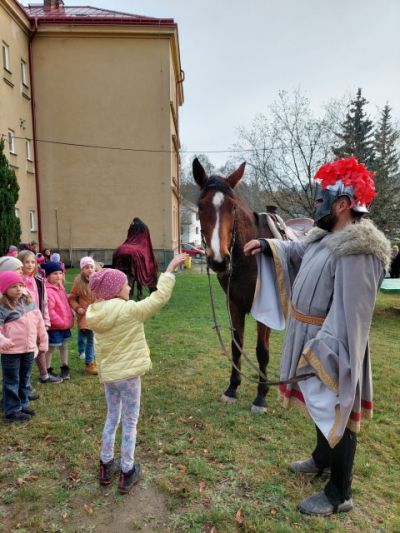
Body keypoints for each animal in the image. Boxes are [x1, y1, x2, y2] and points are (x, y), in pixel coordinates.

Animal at [193, 156, 276, 414]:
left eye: (233, 207)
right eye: (201, 206)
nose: (219, 260)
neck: (250, 259)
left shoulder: (264, 311)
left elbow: (262, 351)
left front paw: (261, 396)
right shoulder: (234, 305)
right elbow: (235, 344)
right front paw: (232, 389)